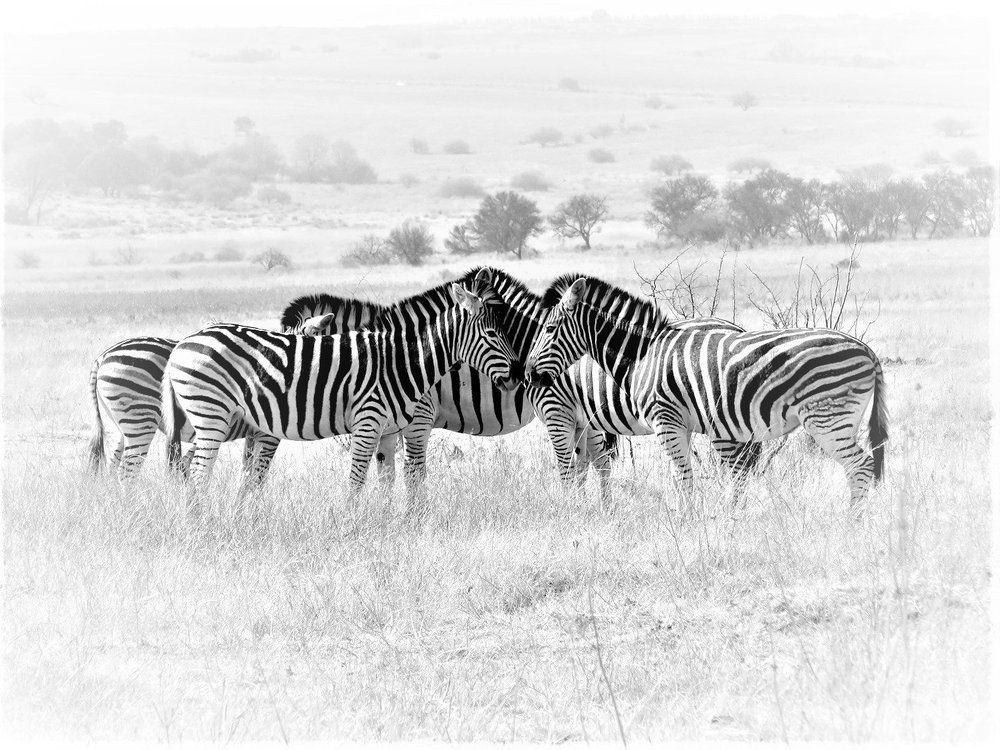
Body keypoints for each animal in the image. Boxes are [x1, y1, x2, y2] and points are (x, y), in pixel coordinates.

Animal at [162, 275, 518, 496]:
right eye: (491, 335)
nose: (518, 376)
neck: (399, 361)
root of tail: (183, 344)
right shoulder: (368, 422)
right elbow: (356, 481)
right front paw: (351, 527)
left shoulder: (388, 431)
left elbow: (385, 481)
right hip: (211, 415)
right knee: (197, 475)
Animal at [524, 274, 888, 509]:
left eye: (549, 329)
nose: (528, 374)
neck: (643, 355)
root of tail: (866, 350)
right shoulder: (680, 425)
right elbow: (682, 478)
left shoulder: (665, 421)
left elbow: (683, 477)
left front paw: (687, 525)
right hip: (842, 419)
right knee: (863, 467)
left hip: (828, 419)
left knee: (860, 467)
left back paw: (853, 526)